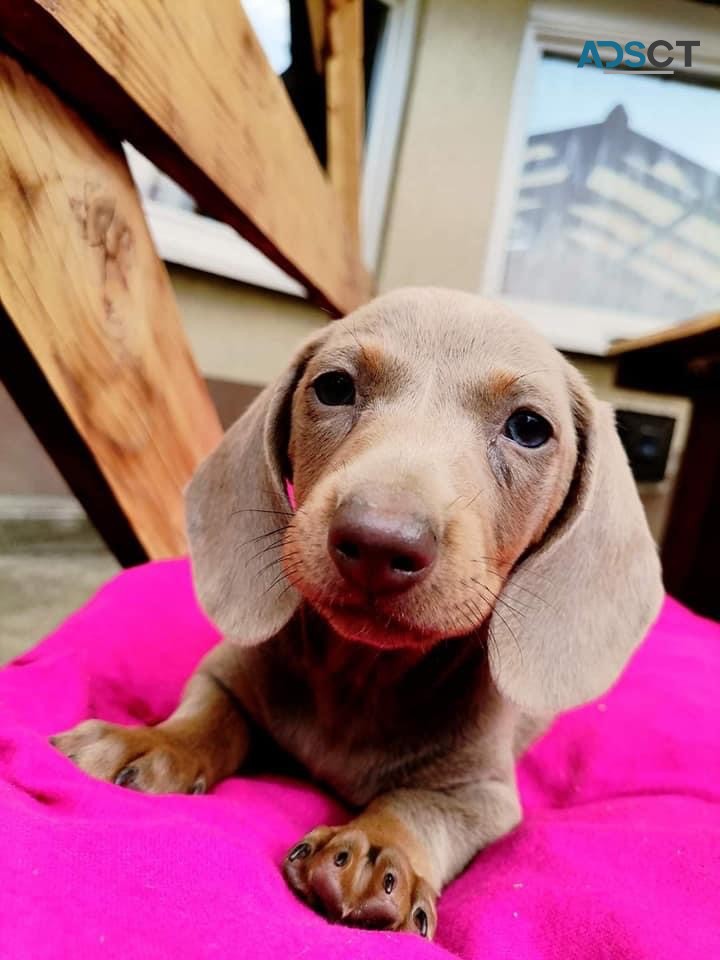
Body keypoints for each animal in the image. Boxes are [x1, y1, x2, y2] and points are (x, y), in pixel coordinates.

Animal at [53, 290, 664, 936]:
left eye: (528, 427)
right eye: (334, 386)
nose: (378, 542)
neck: (363, 672)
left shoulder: (482, 795)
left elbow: (419, 805)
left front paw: (377, 847)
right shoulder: (225, 676)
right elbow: (211, 715)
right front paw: (150, 742)